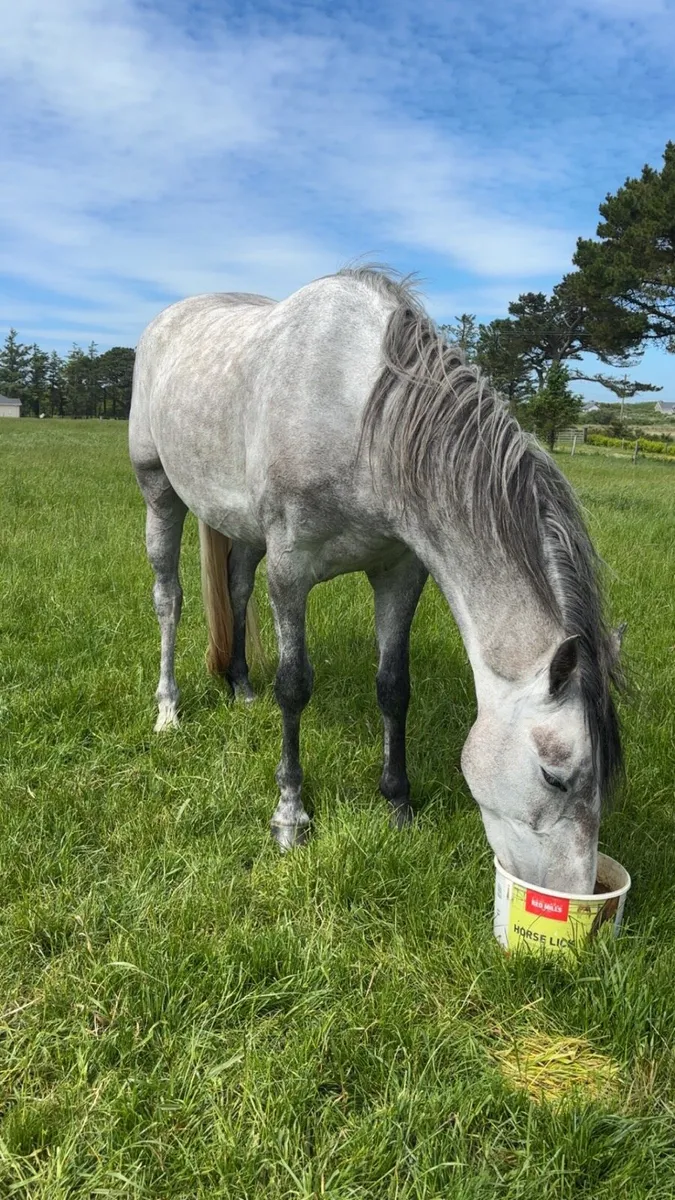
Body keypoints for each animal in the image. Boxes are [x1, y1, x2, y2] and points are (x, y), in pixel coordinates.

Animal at [129, 267, 623, 892]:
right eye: (555, 776)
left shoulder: (399, 573)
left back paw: (241, 687)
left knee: (236, 590)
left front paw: (398, 804)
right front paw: (290, 815)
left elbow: (393, 686)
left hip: (240, 528)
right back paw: (168, 711)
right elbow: (294, 687)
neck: (360, 415)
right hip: (159, 493)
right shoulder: (290, 571)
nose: (574, 895)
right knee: (168, 599)